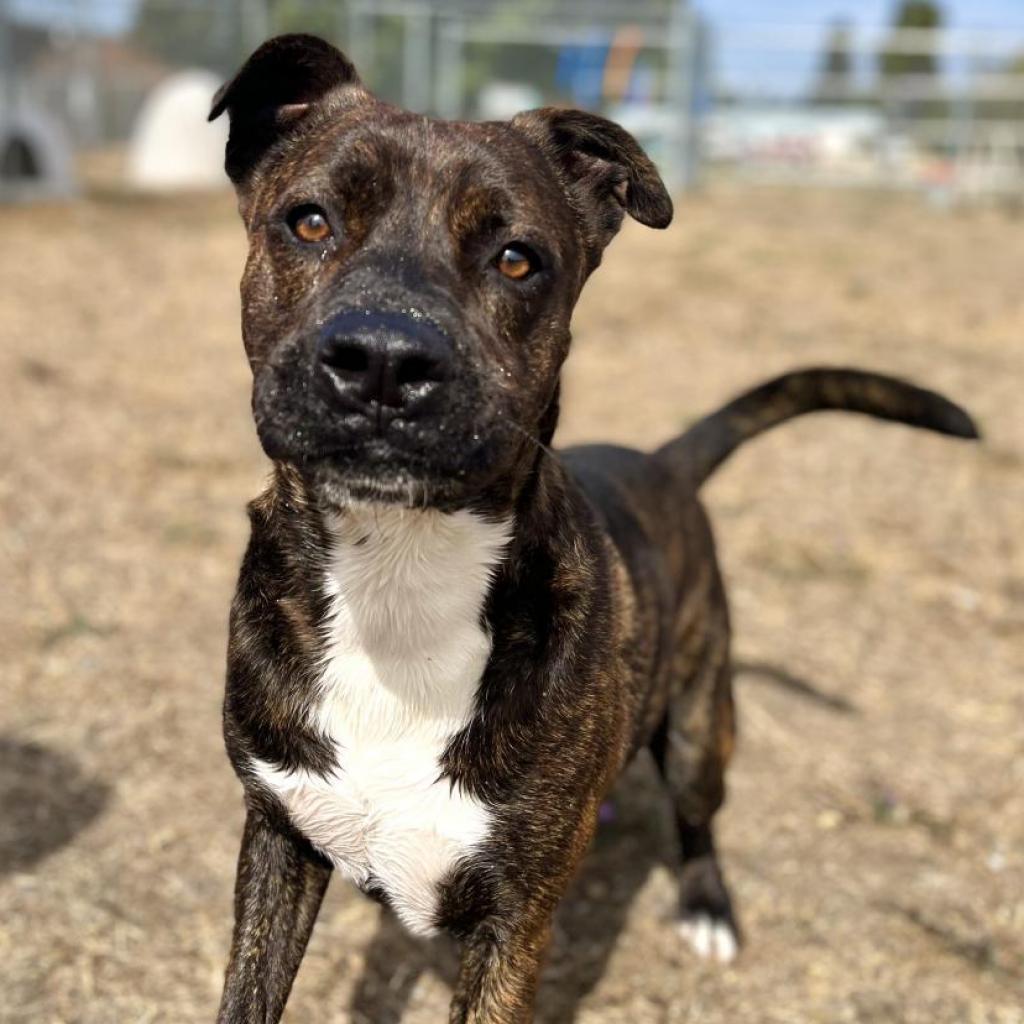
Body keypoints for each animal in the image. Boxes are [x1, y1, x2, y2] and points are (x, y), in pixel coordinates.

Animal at [205, 34, 974, 1024]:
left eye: (517, 259)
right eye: (308, 222)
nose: (382, 360)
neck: (401, 576)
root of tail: (664, 462)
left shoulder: (515, 918)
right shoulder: (279, 832)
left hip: (703, 724)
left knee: (696, 812)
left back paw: (707, 906)